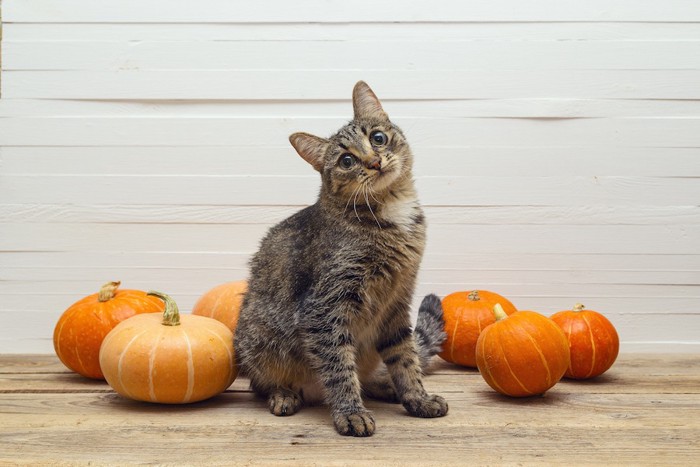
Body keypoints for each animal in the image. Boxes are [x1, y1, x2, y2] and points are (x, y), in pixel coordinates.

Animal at [232, 81, 446, 438]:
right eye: (346, 160)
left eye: (377, 137)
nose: (374, 162)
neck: (391, 212)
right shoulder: (323, 309)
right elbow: (338, 367)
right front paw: (350, 412)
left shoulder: (397, 303)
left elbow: (405, 357)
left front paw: (417, 397)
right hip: (258, 343)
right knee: (261, 383)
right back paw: (283, 394)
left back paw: (383, 385)